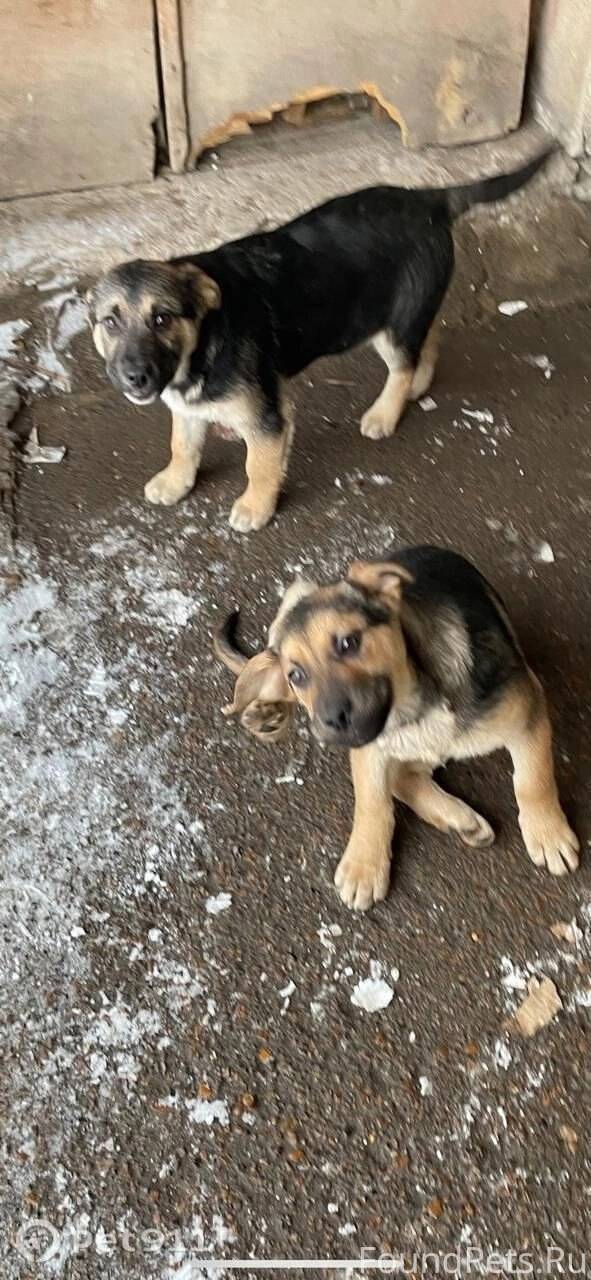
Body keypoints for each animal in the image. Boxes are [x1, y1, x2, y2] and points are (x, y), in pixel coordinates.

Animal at [88, 155, 548, 532]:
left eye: (161, 318)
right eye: (110, 322)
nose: (134, 377)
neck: (201, 343)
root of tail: (425, 199)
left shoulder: (267, 418)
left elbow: (258, 464)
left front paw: (257, 506)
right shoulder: (187, 408)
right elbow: (183, 445)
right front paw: (175, 482)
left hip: (387, 324)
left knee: (402, 364)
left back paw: (386, 411)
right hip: (405, 312)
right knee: (428, 333)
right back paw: (420, 381)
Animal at [215, 545, 579, 910]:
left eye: (348, 643)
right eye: (297, 675)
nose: (331, 720)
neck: (415, 709)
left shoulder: (527, 710)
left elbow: (533, 780)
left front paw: (549, 834)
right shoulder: (368, 747)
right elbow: (372, 800)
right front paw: (364, 864)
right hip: (294, 596)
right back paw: (265, 712)